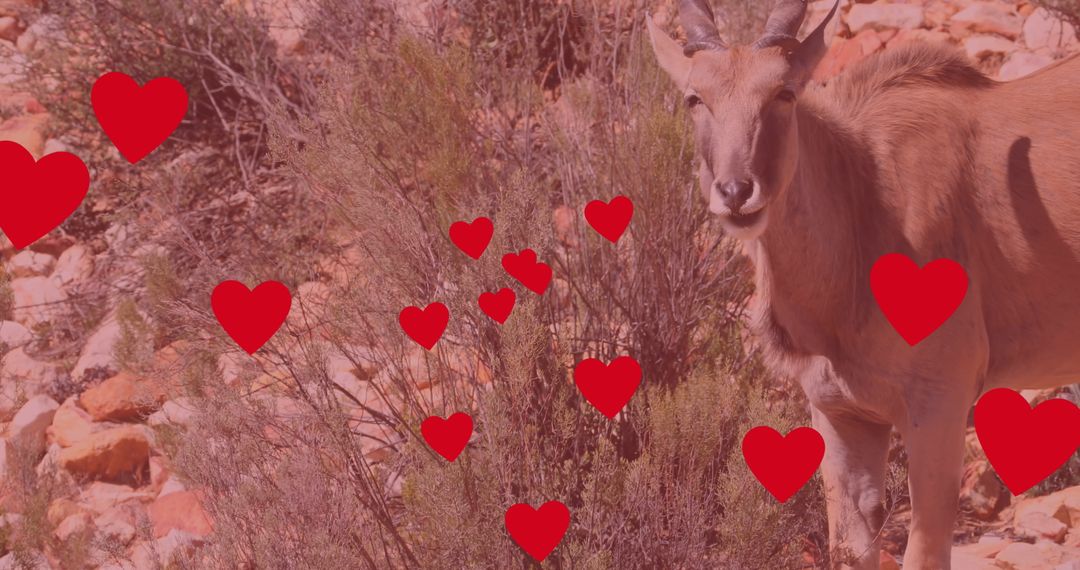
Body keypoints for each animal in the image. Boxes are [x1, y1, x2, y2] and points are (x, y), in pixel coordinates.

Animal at [648, 0, 1080, 568]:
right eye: (695, 97)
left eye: (784, 92)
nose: (737, 192)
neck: (865, 196)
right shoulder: (839, 413)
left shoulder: (940, 404)